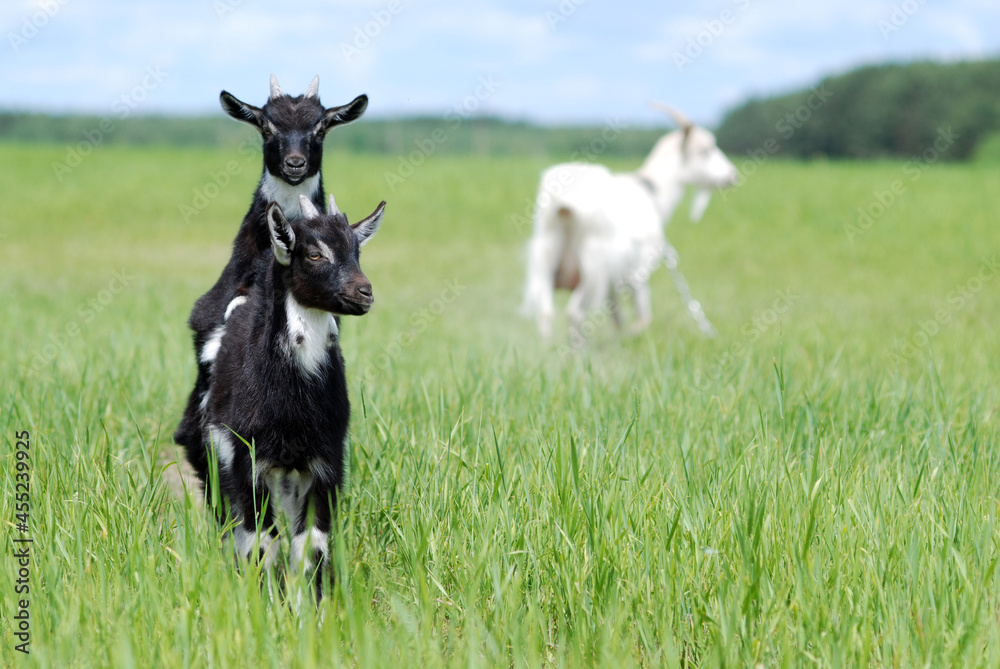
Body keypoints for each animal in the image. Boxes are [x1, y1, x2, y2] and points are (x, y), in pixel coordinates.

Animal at [202, 193, 385, 600]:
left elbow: (311, 545)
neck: (292, 409)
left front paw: (310, 608)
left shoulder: (324, 465)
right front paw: (266, 602)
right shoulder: (249, 463)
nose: (364, 293)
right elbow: (261, 542)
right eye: (314, 254)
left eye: (356, 251)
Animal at [522, 104, 738, 344]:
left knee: (546, 312)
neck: (653, 193)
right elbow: (644, 316)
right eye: (705, 150)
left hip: (546, 258)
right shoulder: (639, 270)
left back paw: (546, 347)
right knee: (573, 311)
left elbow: (618, 318)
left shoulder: (612, 284)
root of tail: (565, 207)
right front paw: (632, 335)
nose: (732, 175)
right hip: (591, 269)